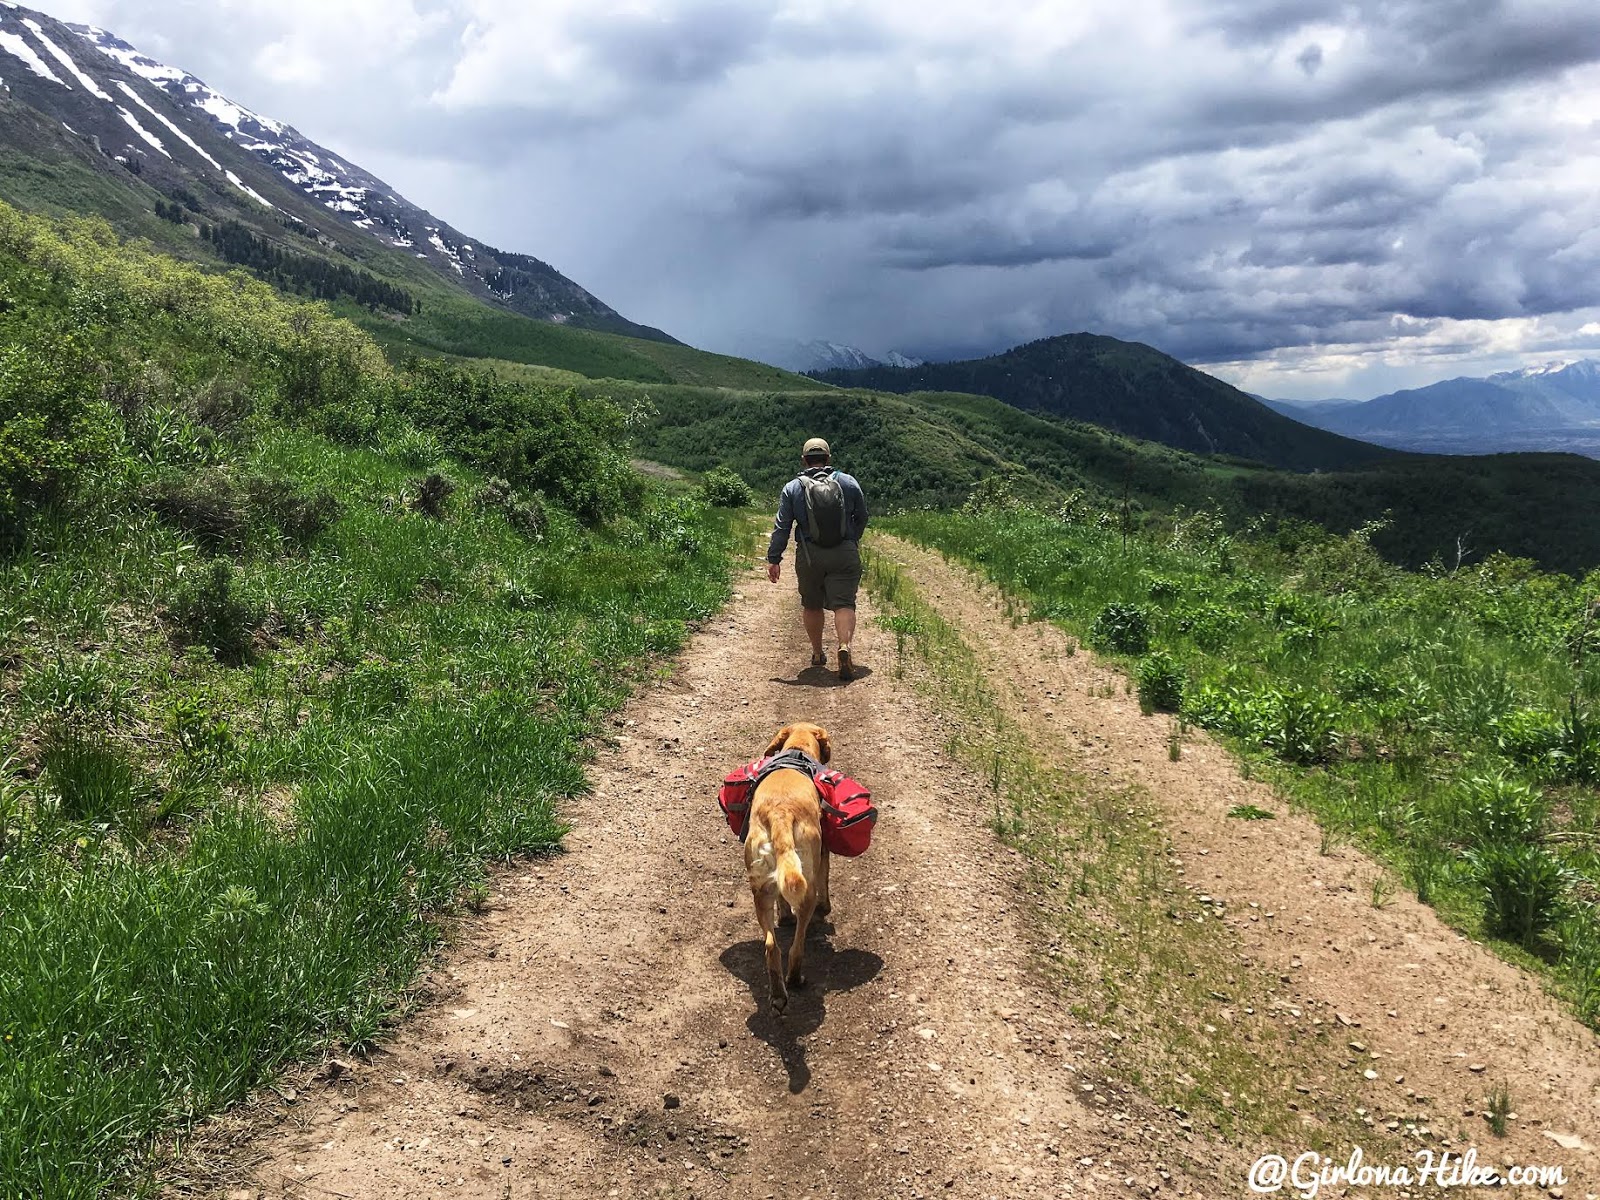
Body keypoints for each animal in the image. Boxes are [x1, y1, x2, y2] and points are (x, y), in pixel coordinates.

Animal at [742, 723, 832, 1017]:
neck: (797, 748)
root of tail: (780, 813)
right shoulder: (823, 853)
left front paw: (784, 916)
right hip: (806, 888)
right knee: (797, 945)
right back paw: (794, 979)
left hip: (759, 891)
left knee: (771, 946)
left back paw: (779, 996)